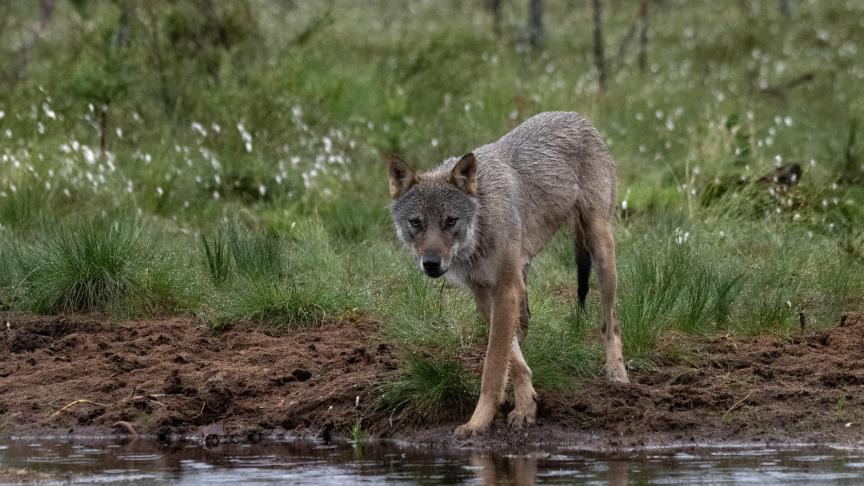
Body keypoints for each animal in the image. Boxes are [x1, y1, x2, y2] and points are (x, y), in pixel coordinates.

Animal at [388, 111, 628, 439]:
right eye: (416, 223)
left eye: (450, 221)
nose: (432, 263)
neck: (482, 223)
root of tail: (577, 117)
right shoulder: (485, 292)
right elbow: (511, 359)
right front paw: (526, 406)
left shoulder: (505, 289)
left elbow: (492, 367)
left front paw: (478, 422)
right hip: (526, 279)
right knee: (526, 325)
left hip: (601, 250)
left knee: (610, 321)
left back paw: (617, 373)